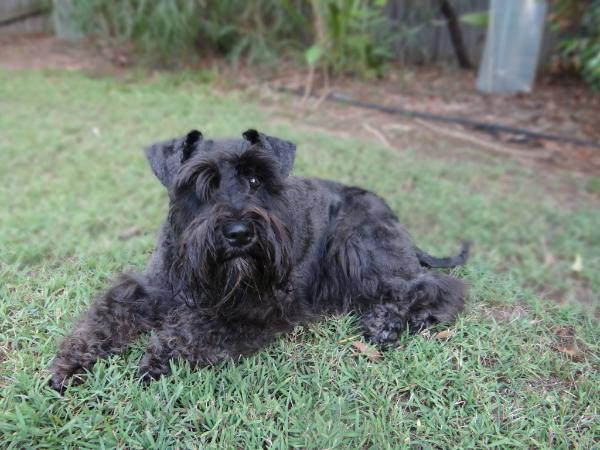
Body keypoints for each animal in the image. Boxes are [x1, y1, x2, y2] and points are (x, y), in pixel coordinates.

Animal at [49, 129, 466, 390]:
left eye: (255, 179)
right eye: (198, 182)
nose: (238, 234)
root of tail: (392, 214)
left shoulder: (256, 305)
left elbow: (200, 327)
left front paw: (158, 357)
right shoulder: (148, 289)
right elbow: (107, 315)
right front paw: (70, 363)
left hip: (360, 247)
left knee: (433, 286)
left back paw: (389, 323)